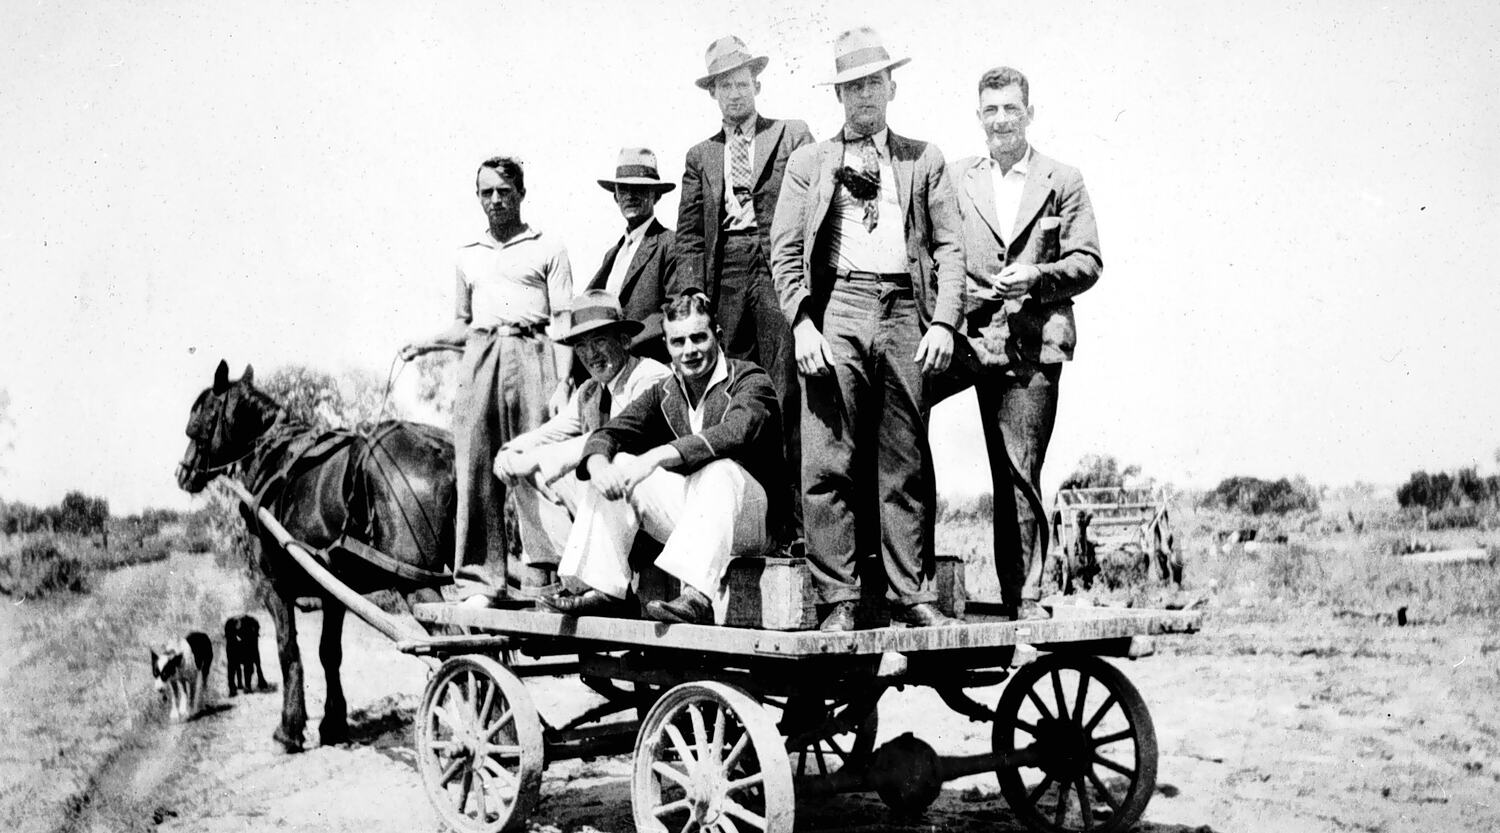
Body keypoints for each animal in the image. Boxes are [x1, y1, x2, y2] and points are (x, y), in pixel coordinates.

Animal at [177, 361, 456, 753]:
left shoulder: (274, 586)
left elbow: (288, 650)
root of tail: (439, 448)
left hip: (416, 584)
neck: (273, 458)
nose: (183, 473)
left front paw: (289, 728)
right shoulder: (333, 591)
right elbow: (329, 654)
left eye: (199, 420)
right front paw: (333, 723)